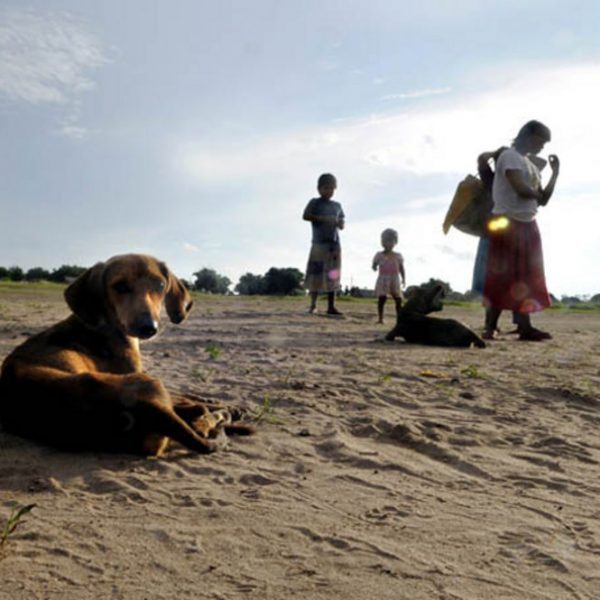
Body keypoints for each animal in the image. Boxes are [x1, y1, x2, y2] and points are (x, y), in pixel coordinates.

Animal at [0, 254, 253, 456]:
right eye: (120, 286)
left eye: (161, 284)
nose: (148, 327)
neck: (107, 325)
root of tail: (151, 413)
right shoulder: (138, 372)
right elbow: (187, 398)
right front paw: (226, 408)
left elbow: (188, 394)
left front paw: (219, 402)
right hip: (148, 382)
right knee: (199, 419)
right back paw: (223, 417)